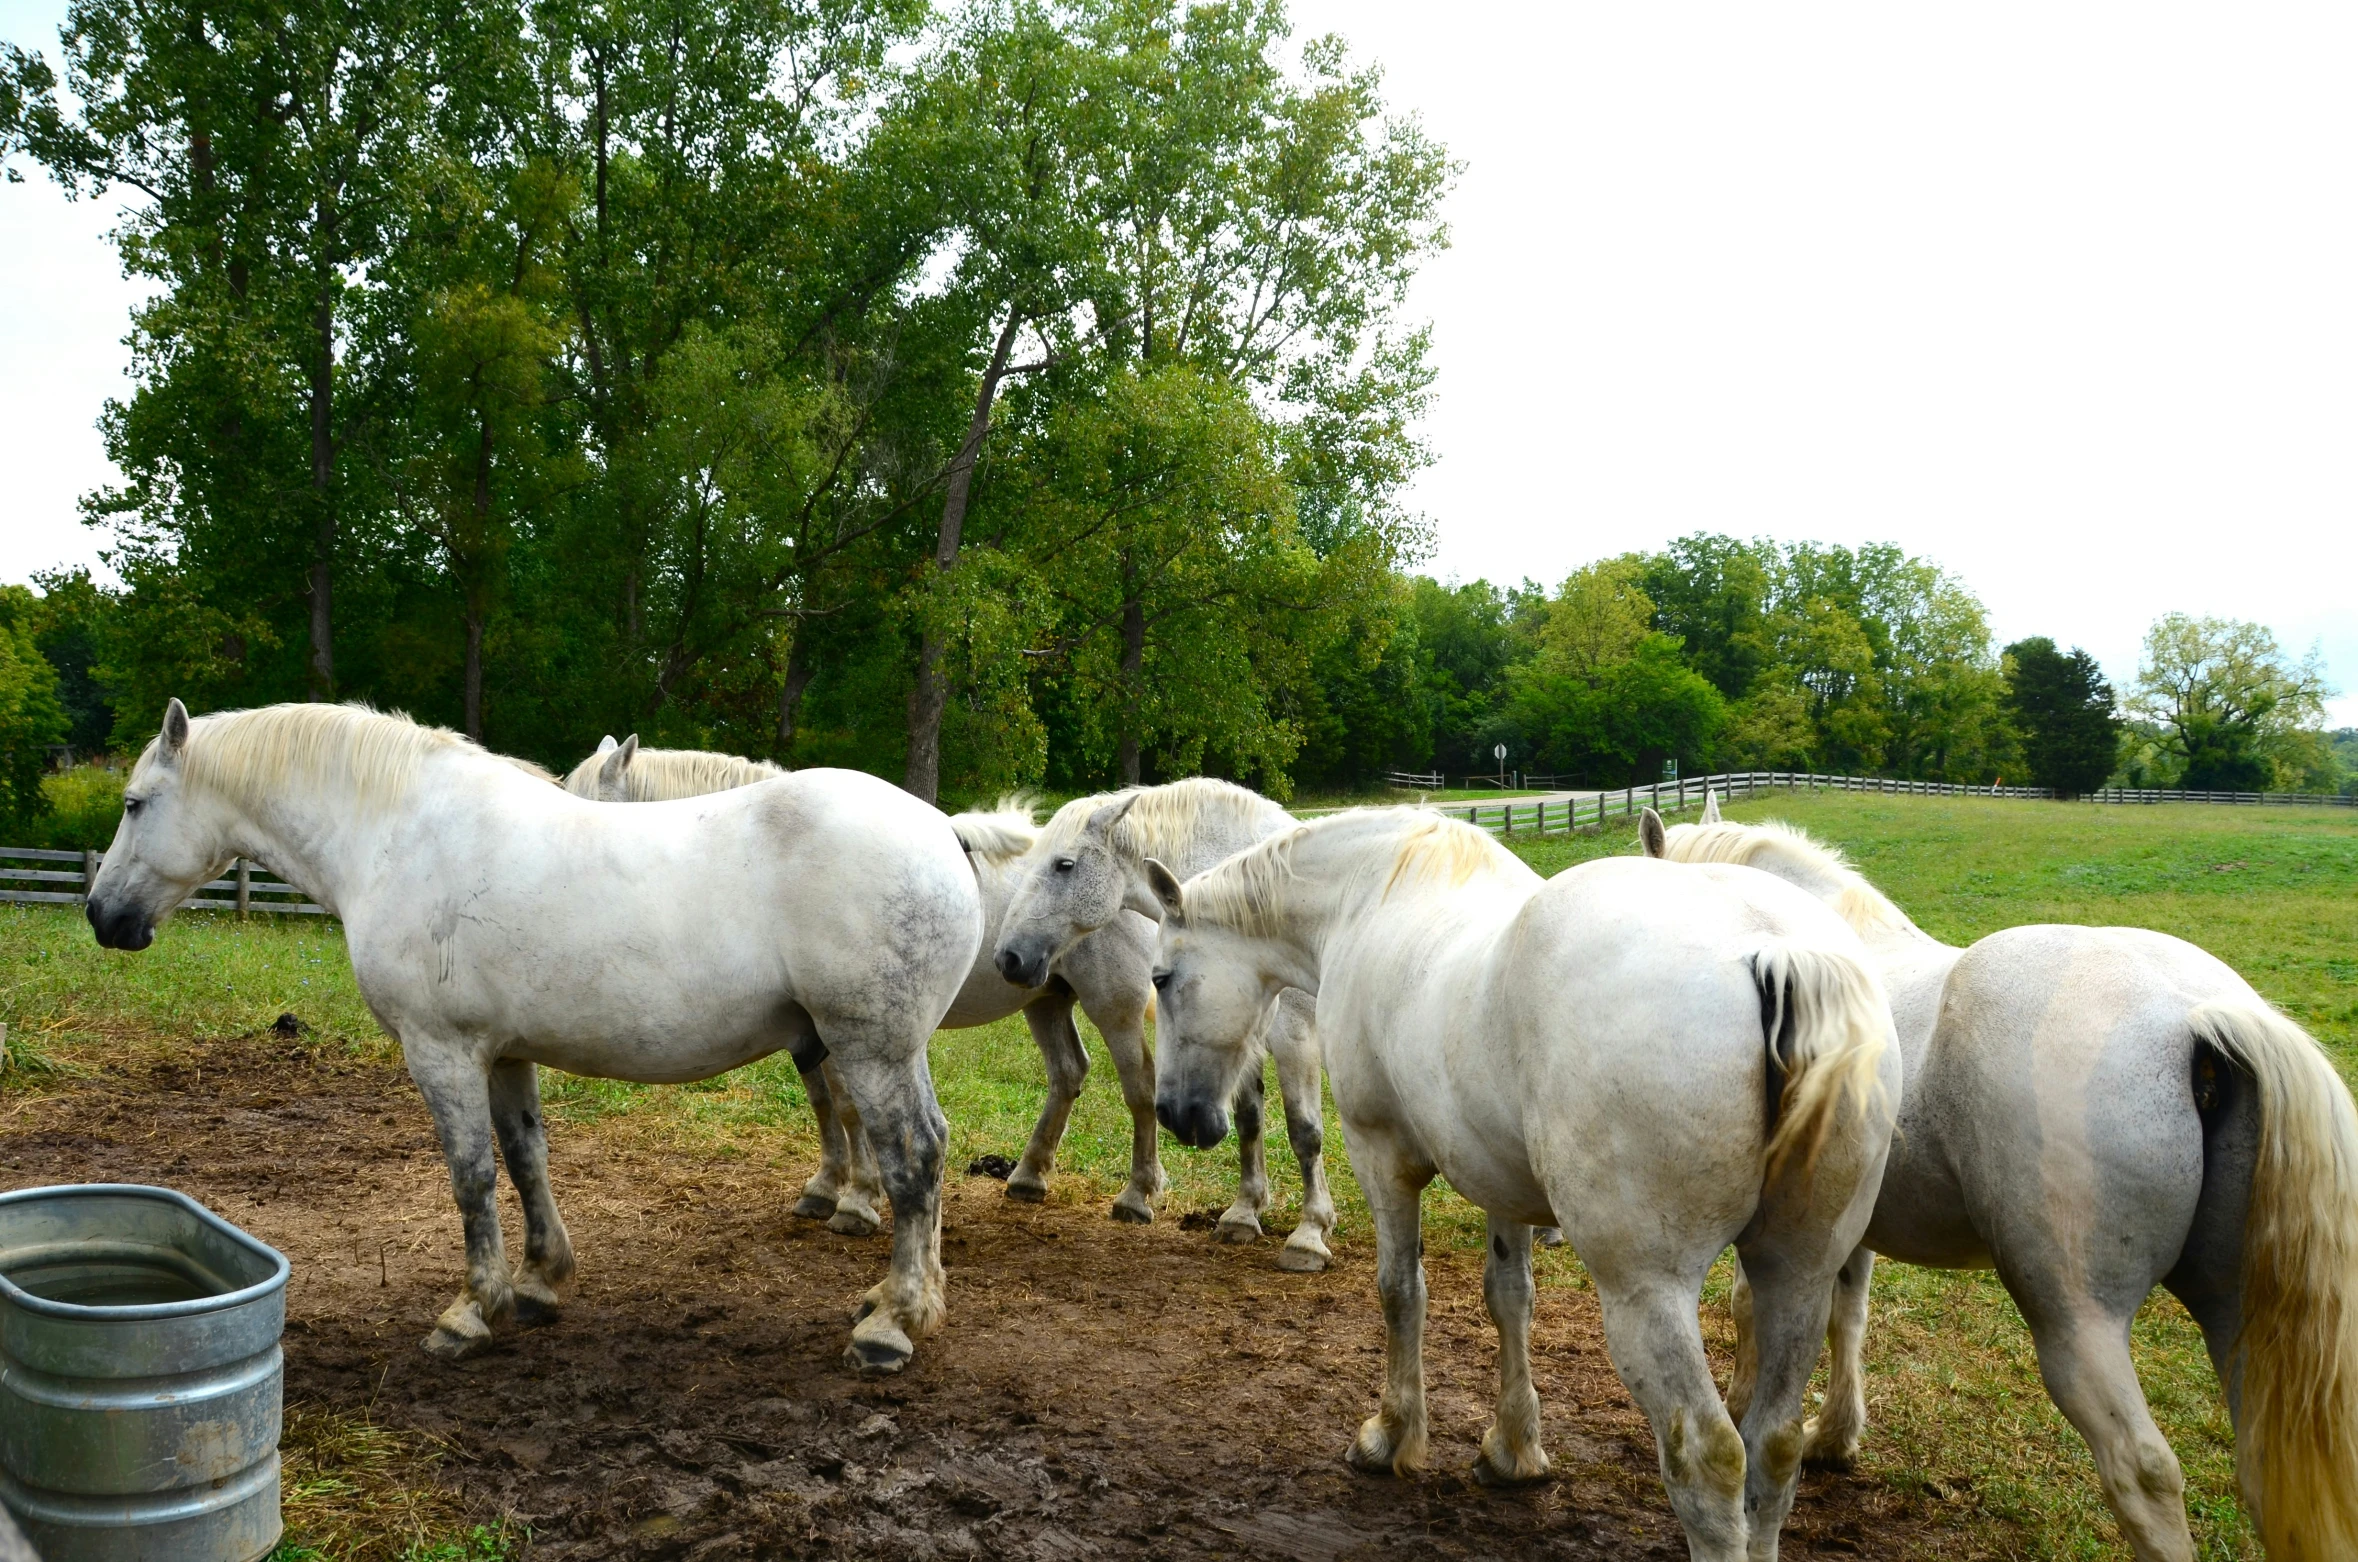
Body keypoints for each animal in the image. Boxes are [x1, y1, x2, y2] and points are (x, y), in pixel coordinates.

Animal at [89, 703, 976, 1377]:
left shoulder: (441, 1052)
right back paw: (908, 1300)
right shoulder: (504, 1055)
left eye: (134, 803)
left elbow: (471, 1178)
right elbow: (524, 1161)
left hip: (870, 1050)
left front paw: (470, 1309)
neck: (399, 834)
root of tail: (943, 835)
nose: (102, 915)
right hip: (892, 1053)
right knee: (931, 1148)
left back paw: (891, 1324)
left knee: (912, 1161)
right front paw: (541, 1280)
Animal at [563, 740, 1188, 1245]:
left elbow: (849, 1109)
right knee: (1067, 1073)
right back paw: (1029, 1176)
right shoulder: (812, 1030)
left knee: (1138, 1085)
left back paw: (1138, 1195)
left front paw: (858, 1200)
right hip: (1044, 997)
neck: (762, 863)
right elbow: (826, 1104)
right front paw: (826, 1187)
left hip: (1114, 1004)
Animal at [985, 783, 1339, 1274]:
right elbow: (1250, 1120)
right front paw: (1243, 1214)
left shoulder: (1295, 1038)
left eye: (1064, 865)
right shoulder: (1239, 1041)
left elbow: (1305, 1132)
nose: (1009, 957)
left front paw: (1309, 1235)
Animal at [1136, 811, 1895, 1557]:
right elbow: (1509, 1301)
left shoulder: (1381, 1157)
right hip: (1797, 1277)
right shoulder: (1500, 1183)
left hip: (1648, 1292)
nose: (1175, 1112)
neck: (1370, 894)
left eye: (1162, 978)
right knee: (1773, 1446)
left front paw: (1391, 1435)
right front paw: (1512, 1451)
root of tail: (1771, 951)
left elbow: (1400, 1291)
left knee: (1710, 1459)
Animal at [1650, 797, 2358, 1562]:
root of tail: (2196, 1015)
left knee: (2143, 1471)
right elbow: (1849, 1315)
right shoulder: (1845, 1229)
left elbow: (1752, 1309)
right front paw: (1837, 1438)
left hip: (2077, 1319)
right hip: (2236, 1315)